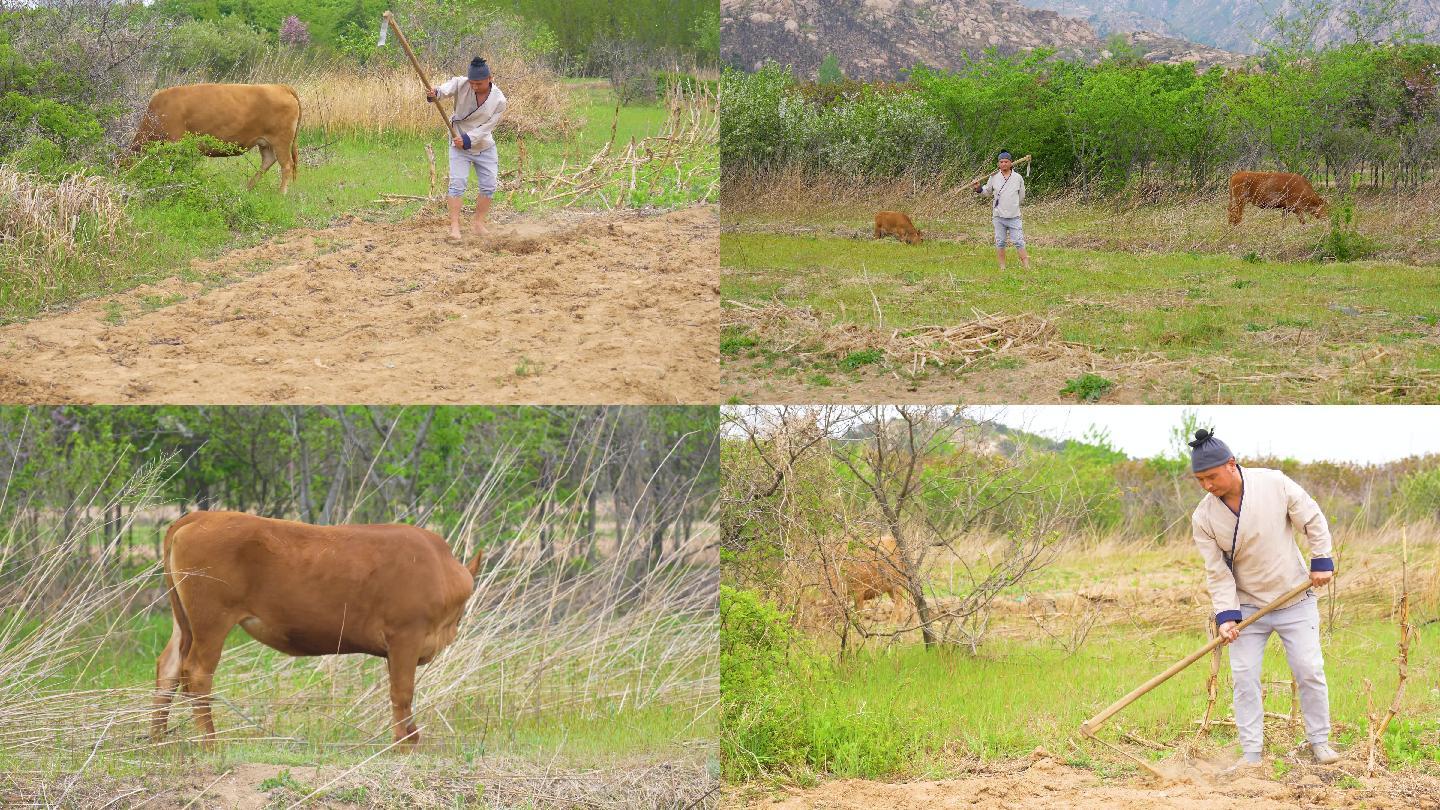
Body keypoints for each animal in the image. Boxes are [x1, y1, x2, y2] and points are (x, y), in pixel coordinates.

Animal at [135, 83, 303, 194]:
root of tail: (280, 86)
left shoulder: (175, 141)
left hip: (281, 140)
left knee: (286, 165)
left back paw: (280, 194)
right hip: (265, 142)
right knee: (268, 160)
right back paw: (247, 188)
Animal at [151, 510, 480, 743]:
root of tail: (202, 515)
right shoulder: (405, 636)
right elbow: (402, 692)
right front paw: (404, 743)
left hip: (184, 621)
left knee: (168, 668)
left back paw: (157, 739)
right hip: (211, 621)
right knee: (197, 672)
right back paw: (210, 741)